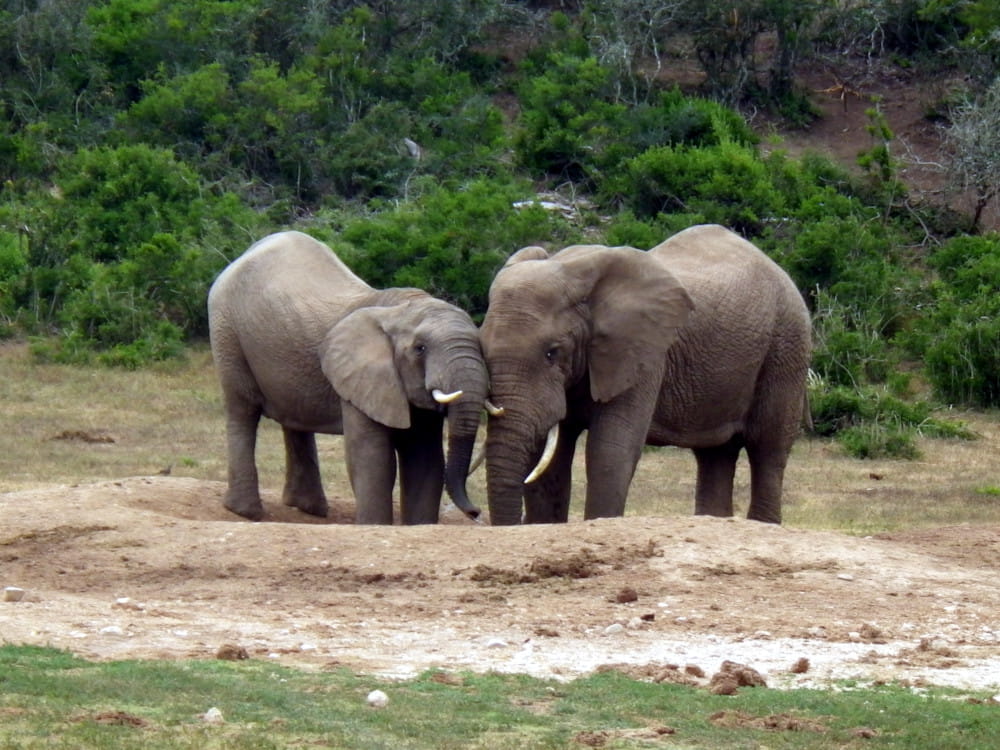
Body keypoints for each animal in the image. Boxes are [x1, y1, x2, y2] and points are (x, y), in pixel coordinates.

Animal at [209, 232, 490, 524]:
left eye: (481, 347)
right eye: (420, 348)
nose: (475, 512)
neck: (401, 309)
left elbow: (424, 459)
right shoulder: (361, 380)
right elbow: (373, 458)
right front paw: (375, 527)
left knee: (294, 420)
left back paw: (308, 508)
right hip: (226, 332)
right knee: (243, 410)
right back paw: (246, 511)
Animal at [480, 225, 816, 528]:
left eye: (552, 353)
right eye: (482, 349)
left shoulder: (645, 355)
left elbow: (610, 450)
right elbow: (550, 458)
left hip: (787, 343)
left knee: (768, 449)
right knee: (715, 454)